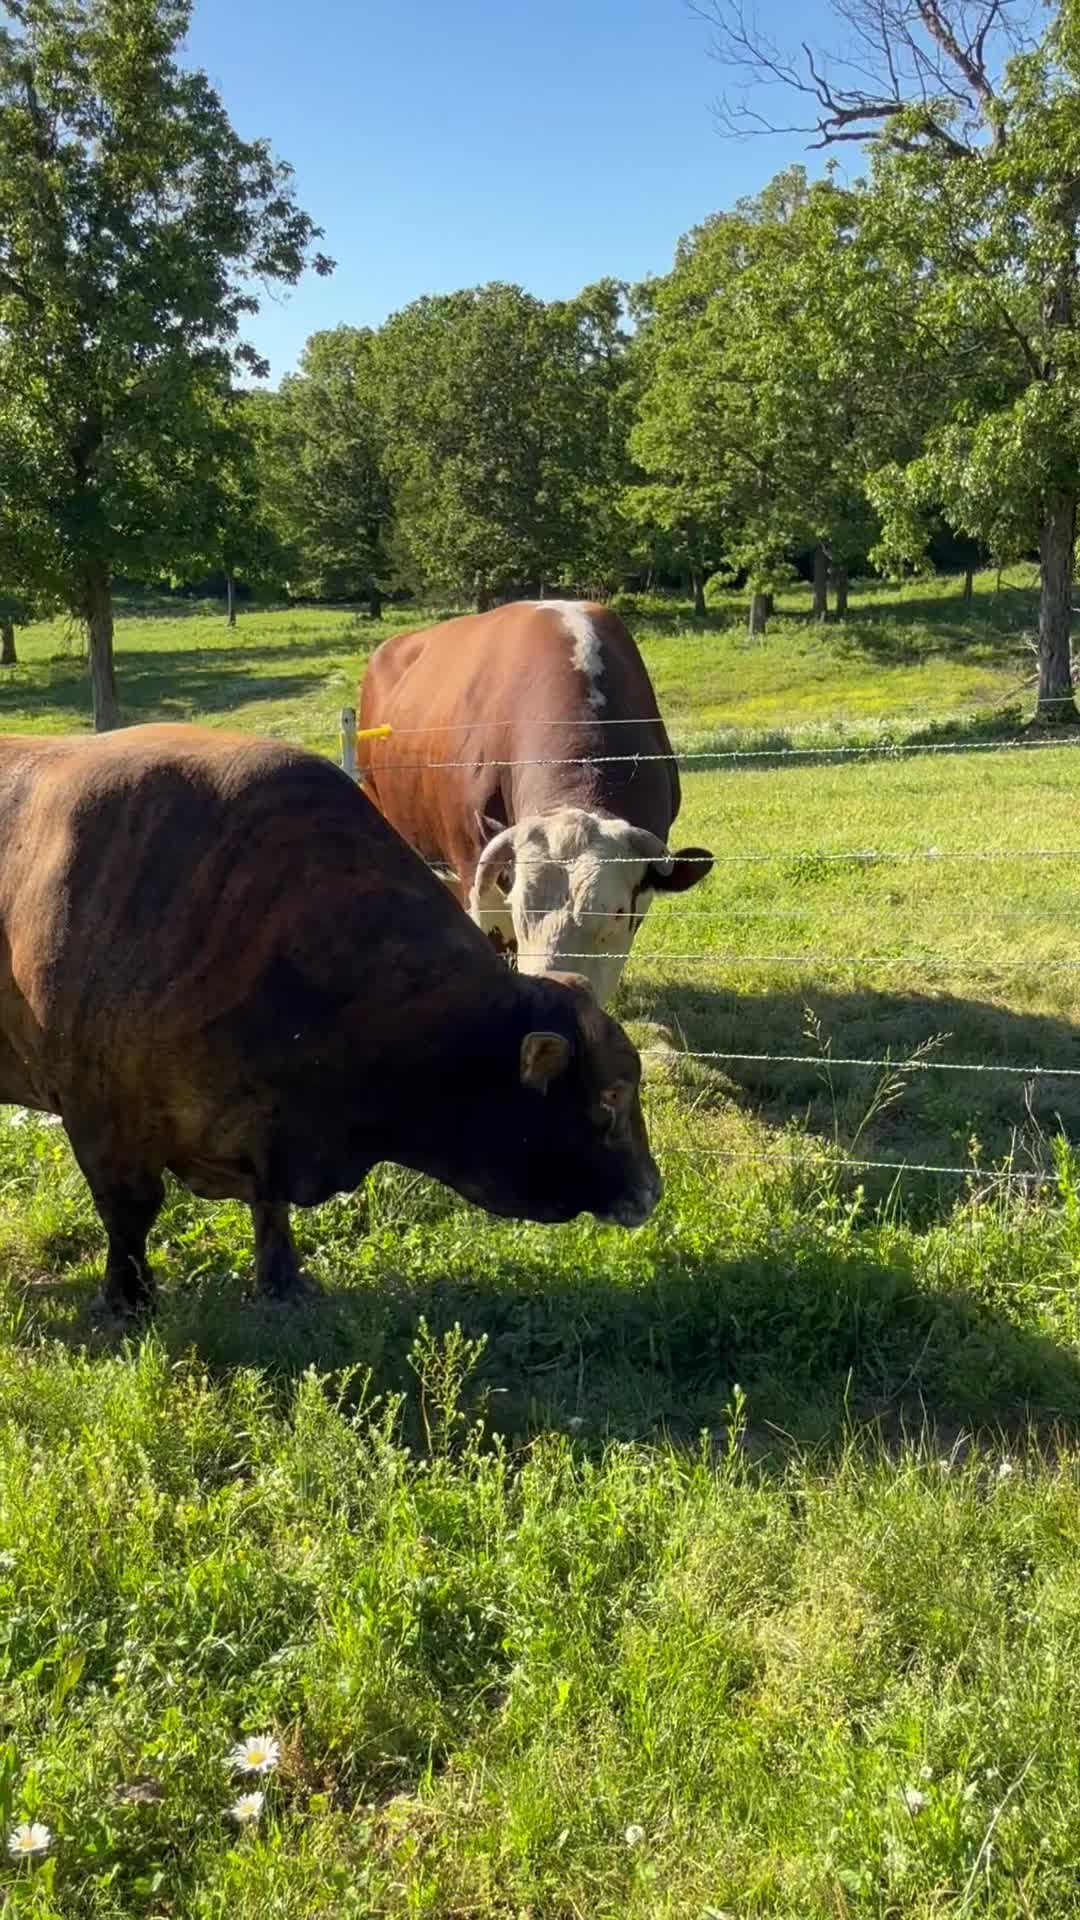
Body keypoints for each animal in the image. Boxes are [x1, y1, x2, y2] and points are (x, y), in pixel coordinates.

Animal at [0, 724, 661, 1316]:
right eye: (610, 1094)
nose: (650, 1190)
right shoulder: (104, 1120)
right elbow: (130, 1213)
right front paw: (129, 1301)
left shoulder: (269, 1136)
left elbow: (270, 1209)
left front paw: (283, 1284)